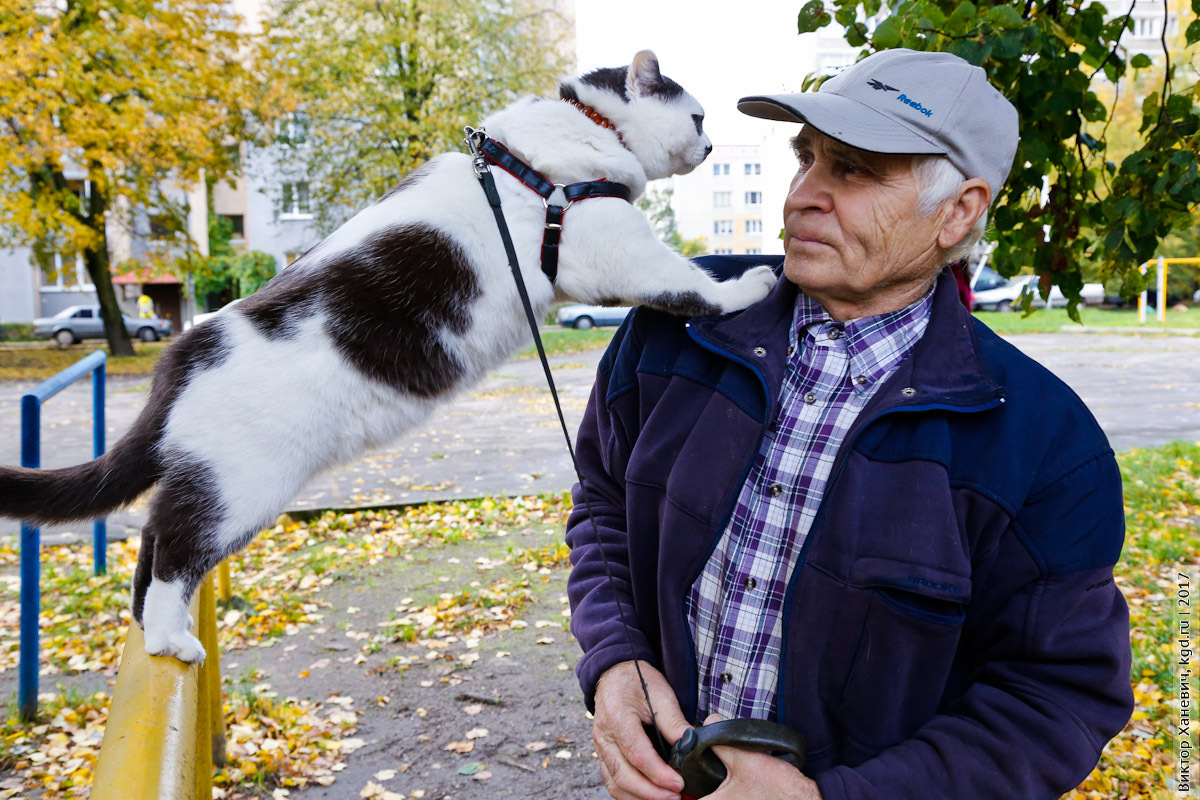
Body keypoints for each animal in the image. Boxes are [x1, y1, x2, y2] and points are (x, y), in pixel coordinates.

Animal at [0, 51, 777, 662]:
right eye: (699, 118)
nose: (713, 149)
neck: (579, 129)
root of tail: (183, 350)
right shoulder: (613, 248)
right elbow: (687, 285)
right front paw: (749, 284)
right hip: (236, 488)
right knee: (171, 547)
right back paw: (169, 640)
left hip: (211, 479)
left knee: (148, 543)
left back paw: (147, 632)